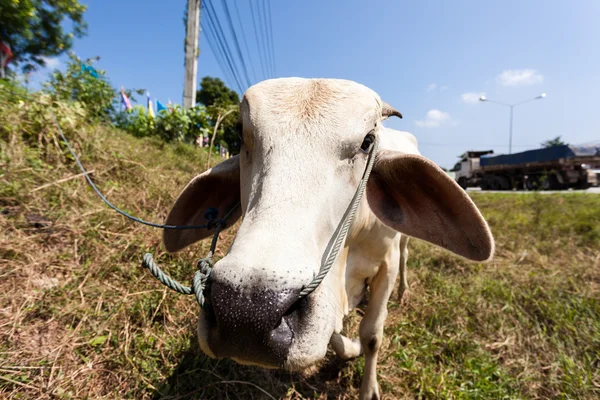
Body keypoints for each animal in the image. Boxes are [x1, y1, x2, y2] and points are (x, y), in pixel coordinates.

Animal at [162, 78, 494, 400]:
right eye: (241, 135)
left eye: (367, 141)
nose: (246, 313)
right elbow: (334, 333)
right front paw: (350, 347)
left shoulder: (385, 266)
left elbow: (372, 334)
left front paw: (368, 387)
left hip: (401, 246)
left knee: (406, 256)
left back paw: (403, 292)